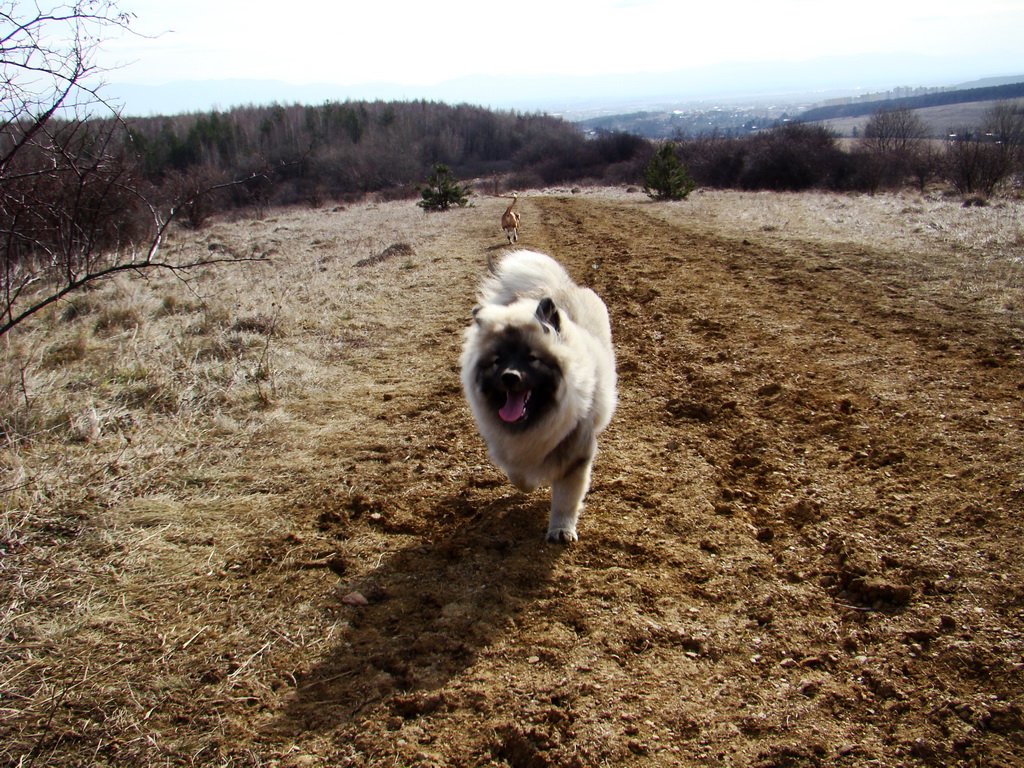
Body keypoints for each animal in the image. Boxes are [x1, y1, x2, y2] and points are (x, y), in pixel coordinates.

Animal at [460, 250, 617, 542]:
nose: (509, 377)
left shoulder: (576, 454)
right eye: (498, 360)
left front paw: (561, 530)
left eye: (531, 358)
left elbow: (566, 499)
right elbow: (519, 476)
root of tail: (551, 286)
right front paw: (530, 485)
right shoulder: (510, 449)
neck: (535, 421)